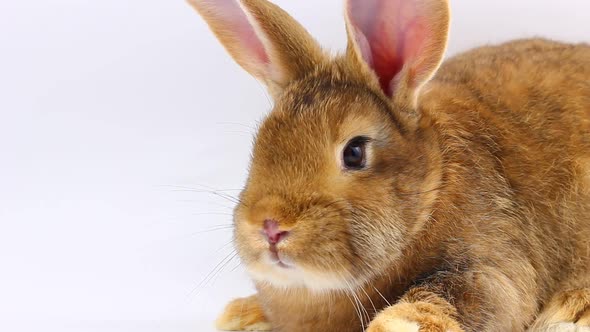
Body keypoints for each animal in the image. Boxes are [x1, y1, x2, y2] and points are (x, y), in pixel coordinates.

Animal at [188, 0, 590, 332]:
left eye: (354, 152)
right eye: (260, 143)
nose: (270, 226)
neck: (431, 195)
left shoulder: (492, 265)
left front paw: (394, 325)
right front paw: (241, 317)